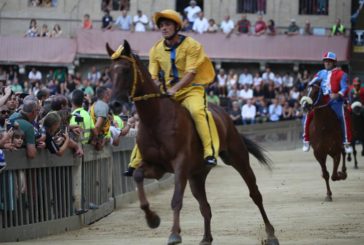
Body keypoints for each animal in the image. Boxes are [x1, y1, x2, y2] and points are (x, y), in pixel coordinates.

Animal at [105, 41, 278, 245]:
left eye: (126, 70)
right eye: (109, 72)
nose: (114, 105)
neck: (156, 119)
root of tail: (225, 115)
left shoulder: (180, 164)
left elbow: (176, 199)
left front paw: (174, 234)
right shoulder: (157, 167)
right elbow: (138, 176)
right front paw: (152, 219)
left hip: (238, 158)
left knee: (255, 194)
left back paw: (271, 233)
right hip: (197, 176)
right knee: (205, 207)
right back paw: (206, 238)